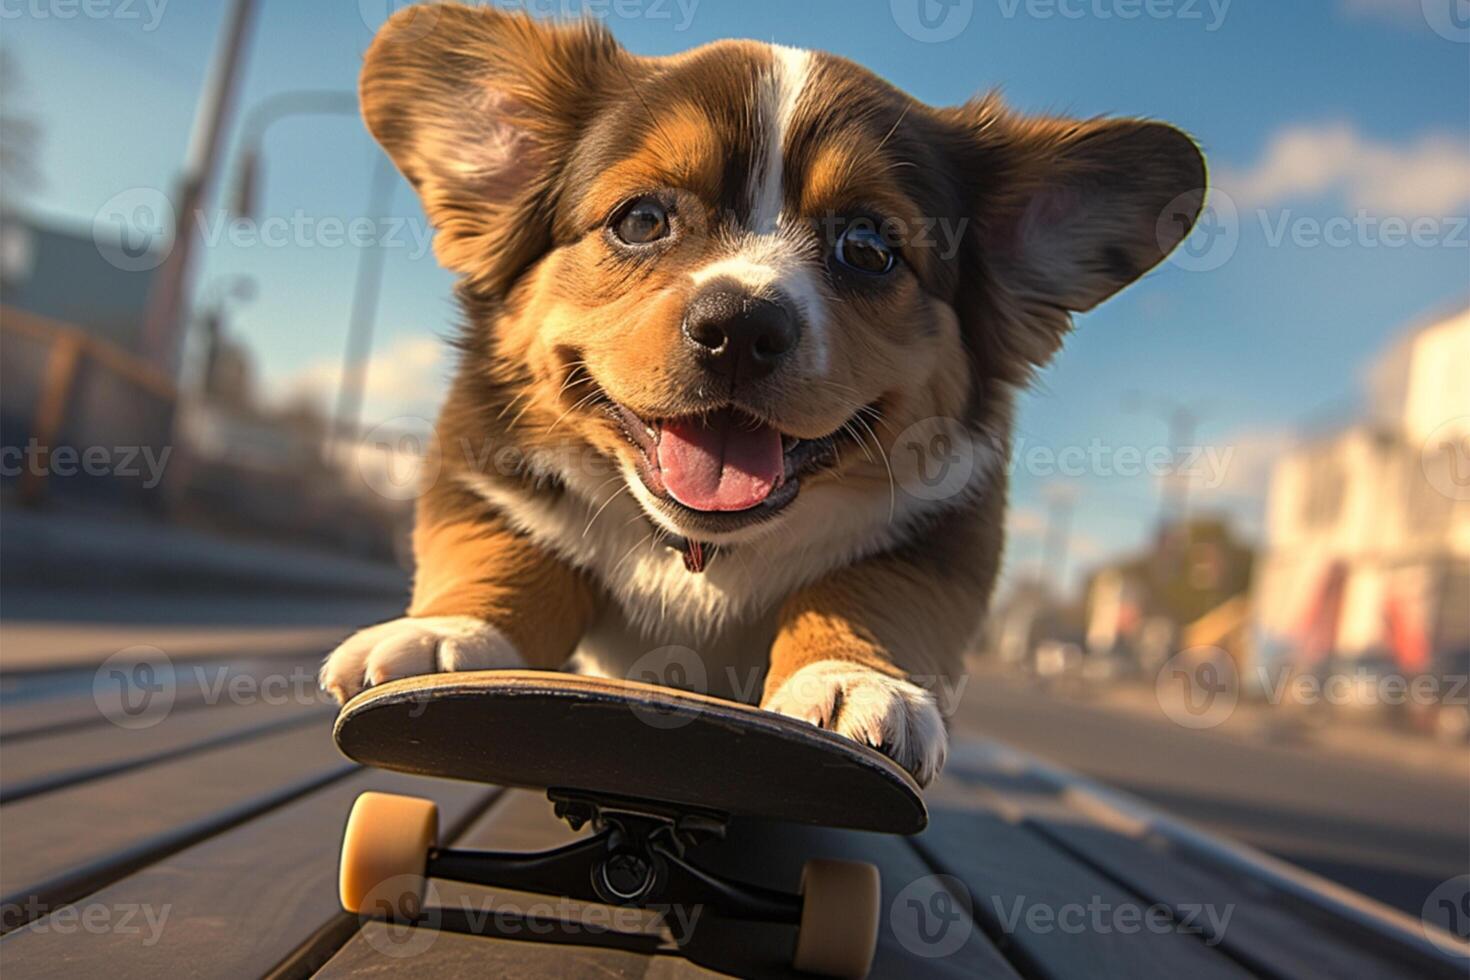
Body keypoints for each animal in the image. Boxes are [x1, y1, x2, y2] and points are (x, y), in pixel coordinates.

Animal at [321, 3, 1205, 787]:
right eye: (640, 220)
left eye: (869, 248)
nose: (739, 328)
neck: (702, 551)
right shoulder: (488, 473)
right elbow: (504, 557)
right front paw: (444, 634)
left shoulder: (939, 532)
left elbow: (868, 593)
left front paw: (853, 682)